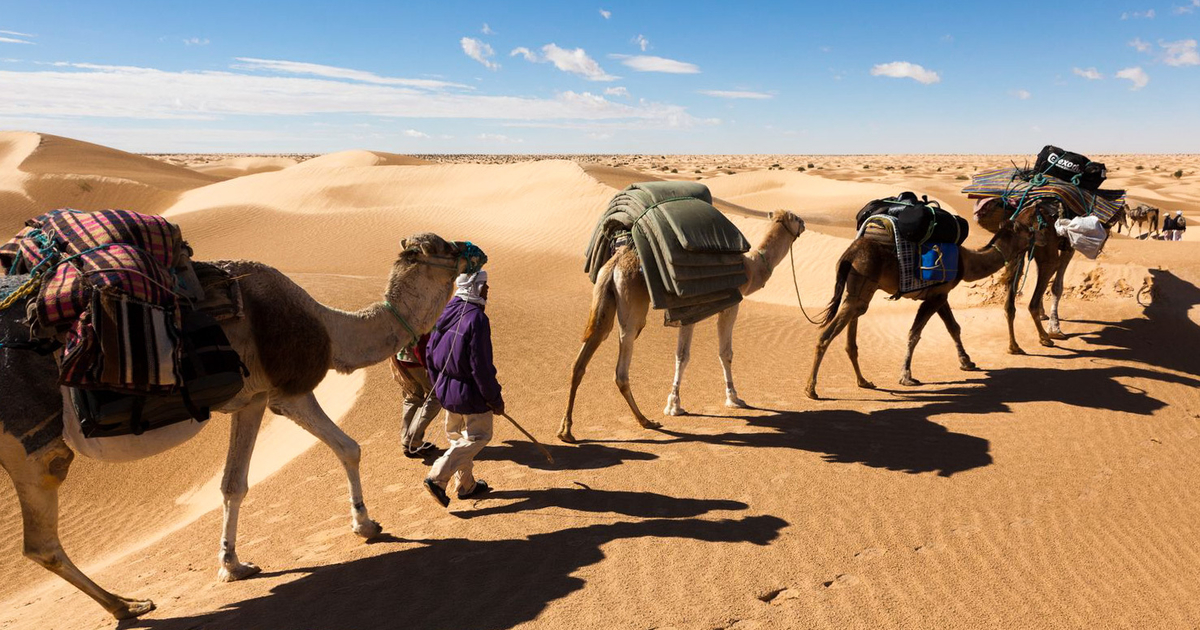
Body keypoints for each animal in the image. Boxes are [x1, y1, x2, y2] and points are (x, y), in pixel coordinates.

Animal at [0, 231, 475, 619]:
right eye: (442, 247)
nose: (473, 251)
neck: (329, 328)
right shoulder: (287, 392)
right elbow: (348, 447)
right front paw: (366, 526)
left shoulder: (251, 400)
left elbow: (233, 484)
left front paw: (232, 565)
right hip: (28, 441)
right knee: (40, 539)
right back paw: (128, 605)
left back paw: (125, 604)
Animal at [559, 208, 806, 439]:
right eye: (795, 217)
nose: (804, 223)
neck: (749, 268)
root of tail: (614, 265)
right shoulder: (726, 307)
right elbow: (720, 353)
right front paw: (732, 398)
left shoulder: (691, 314)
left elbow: (682, 356)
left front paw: (674, 403)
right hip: (633, 308)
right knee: (621, 366)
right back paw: (646, 421)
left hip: (604, 298)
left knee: (582, 357)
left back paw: (566, 430)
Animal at [806, 201, 1051, 398]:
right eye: (1030, 230)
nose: (1042, 239)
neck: (966, 262)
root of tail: (850, 253)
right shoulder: (936, 296)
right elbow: (915, 333)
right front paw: (906, 376)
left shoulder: (940, 294)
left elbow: (954, 327)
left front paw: (967, 362)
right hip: (862, 283)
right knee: (826, 335)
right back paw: (811, 389)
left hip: (858, 290)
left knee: (852, 329)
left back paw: (864, 381)